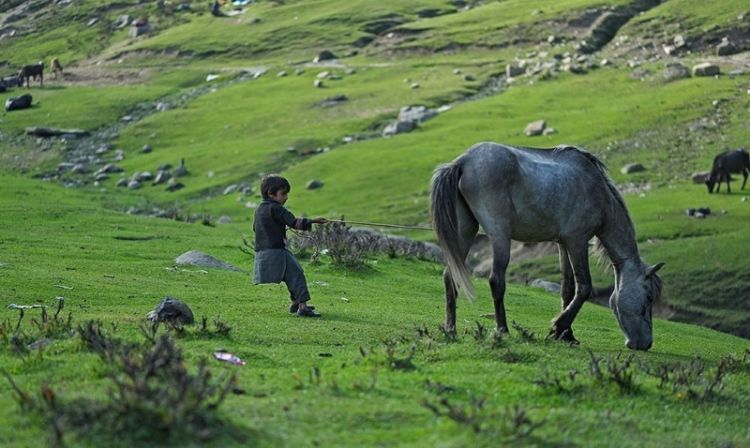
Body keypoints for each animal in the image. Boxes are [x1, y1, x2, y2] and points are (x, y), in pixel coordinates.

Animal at [432, 143, 668, 350]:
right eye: (649, 298)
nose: (645, 343)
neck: (599, 193)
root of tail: (463, 161)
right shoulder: (577, 241)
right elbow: (584, 287)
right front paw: (558, 327)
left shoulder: (563, 244)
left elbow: (567, 289)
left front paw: (567, 335)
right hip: (500, 237)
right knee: (496, 281)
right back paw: (502, 329)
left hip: (465, 232)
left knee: (449, 276)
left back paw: (450, 329)